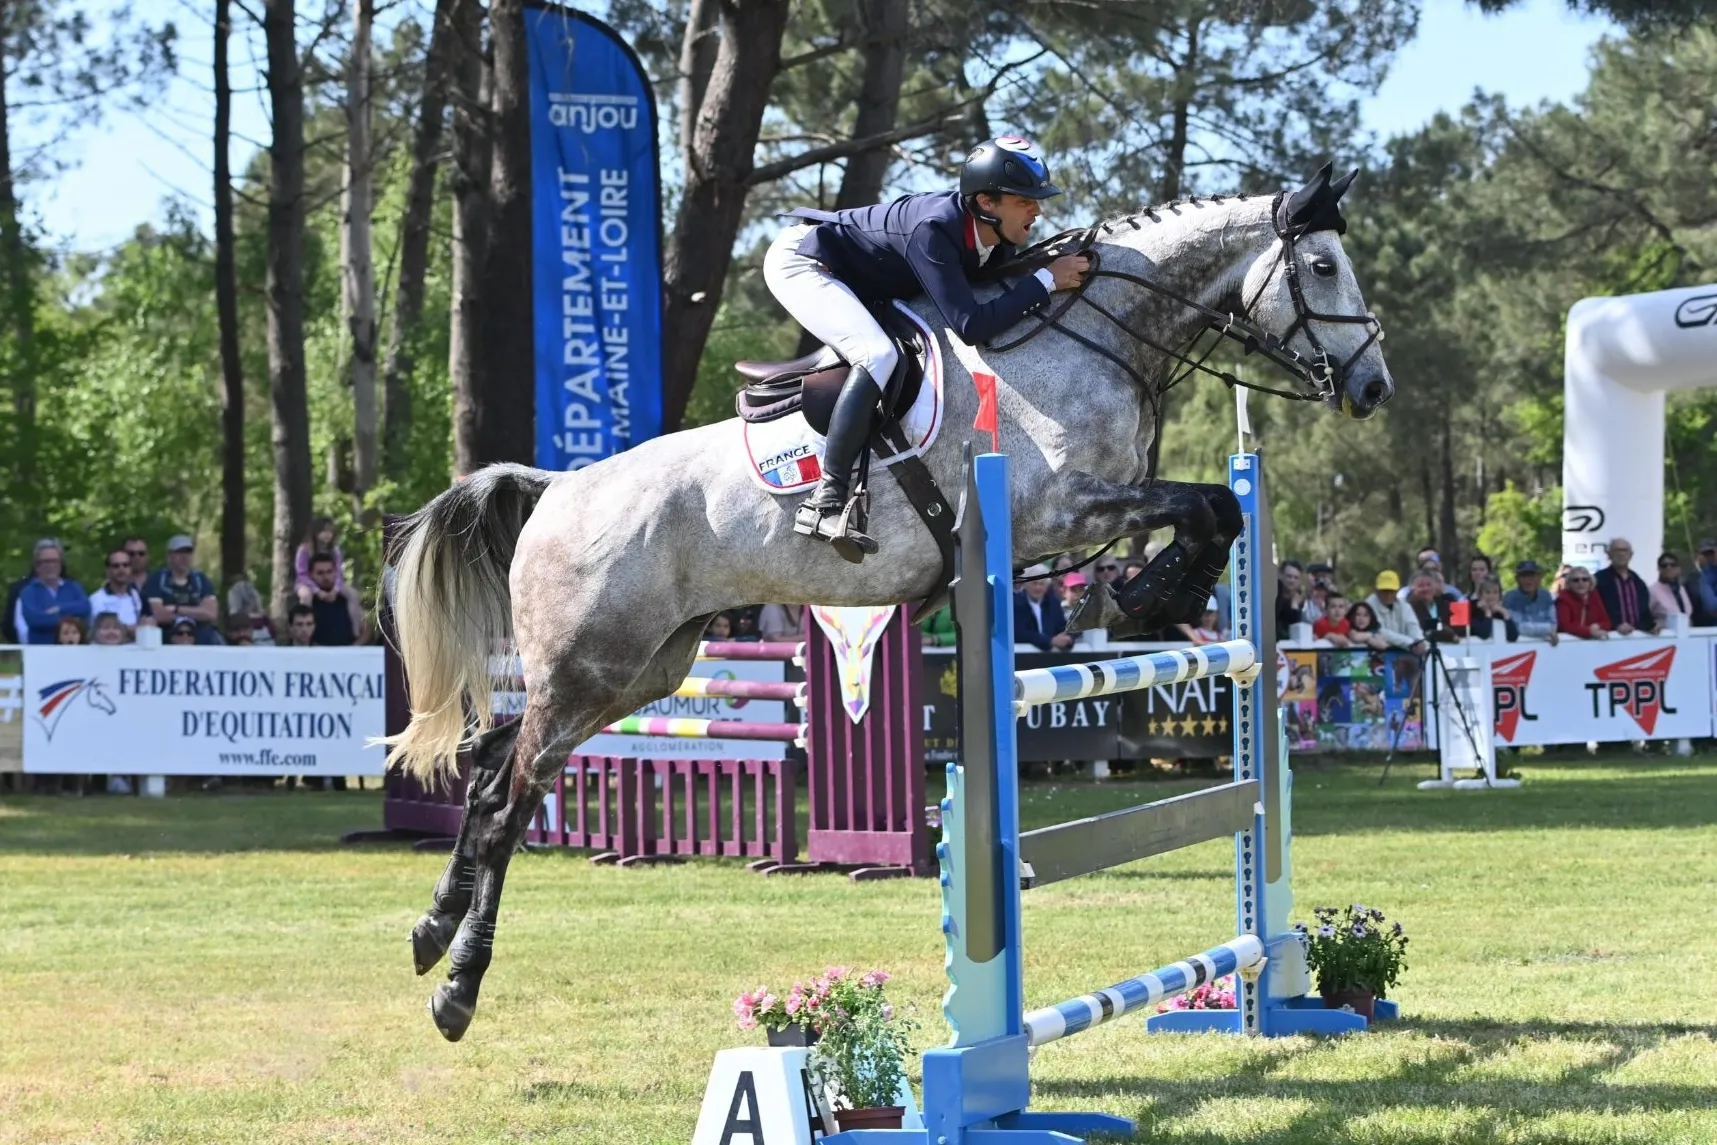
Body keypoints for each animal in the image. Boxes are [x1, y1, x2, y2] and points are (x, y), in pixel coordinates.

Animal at [387, 164, 1394, 1041]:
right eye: (1320, 267)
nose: (1372, 387)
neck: (1086, 338)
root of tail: (558, 487)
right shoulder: (1062, 510)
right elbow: (1204, 504)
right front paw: (1149, 592)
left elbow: (1219, 506)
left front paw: (1154, 590)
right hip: (589, 665)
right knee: (511, 793)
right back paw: (457, 988)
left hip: (641, 670)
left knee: (489, 762)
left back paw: (430, 929)